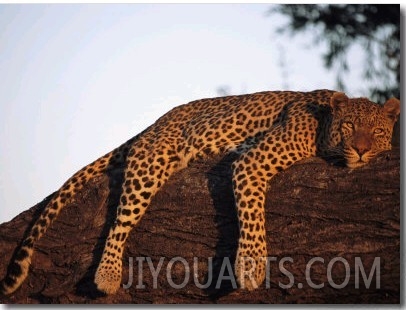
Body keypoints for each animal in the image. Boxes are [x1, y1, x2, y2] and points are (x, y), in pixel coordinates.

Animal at [0, 89, 400, 296]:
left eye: (378, 131)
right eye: (350, 127)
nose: (362, 150)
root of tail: (155, 124)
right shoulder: (252, 161)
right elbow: (252, 216)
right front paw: (250, 268)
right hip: (151, 163)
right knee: (120, 219)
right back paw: (109, 274)